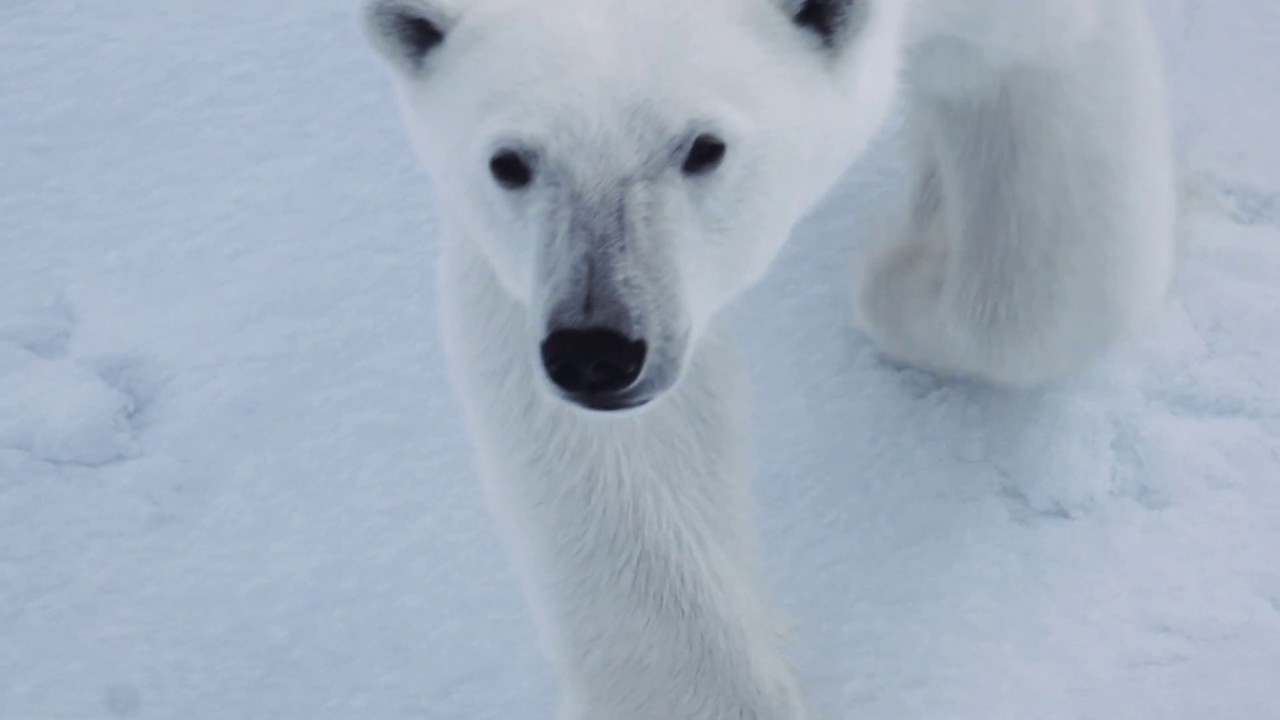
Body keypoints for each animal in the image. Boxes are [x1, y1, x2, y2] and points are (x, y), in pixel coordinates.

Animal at [366, 1, 1172, 712]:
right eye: (509, 161)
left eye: (704, 146)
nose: (597, 350)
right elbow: (608, 451)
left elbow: (1036, 284)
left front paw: (900, 266)